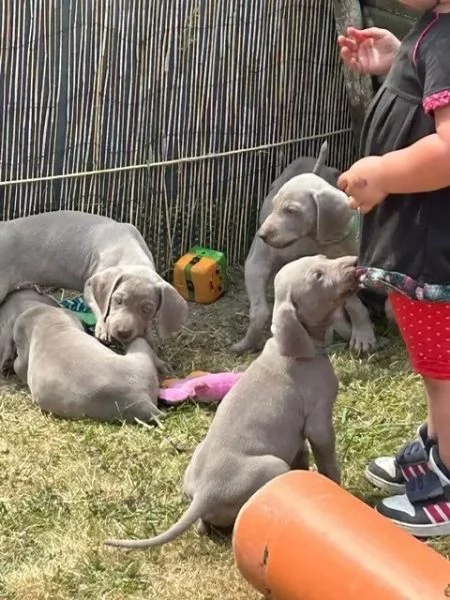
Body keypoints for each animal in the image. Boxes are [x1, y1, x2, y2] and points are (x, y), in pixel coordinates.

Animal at [0, 211, 188, 356]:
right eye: (117, 300)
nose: (122, 333)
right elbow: (98, 304)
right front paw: (102, 330)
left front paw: (149, 338)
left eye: (147, 309)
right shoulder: (91, 284)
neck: (132, 255)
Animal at [103, 252, 356, 548]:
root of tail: (205, 494)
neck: (294, 352)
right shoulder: (319, 421)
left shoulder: (299, 433)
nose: (355, 263)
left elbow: (301, 453)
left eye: (323, 257)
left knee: (203, 526)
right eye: (317, 275)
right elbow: (328, 461)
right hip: (273, 465)